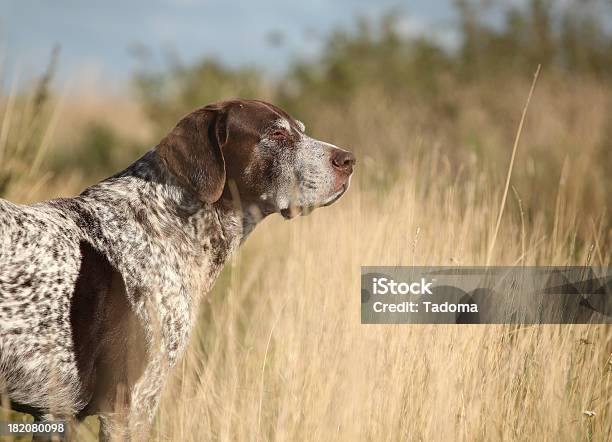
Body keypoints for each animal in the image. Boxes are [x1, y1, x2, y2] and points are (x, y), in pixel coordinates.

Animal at [0, 98, 354, 440]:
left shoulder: (54, 414)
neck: (167, 223)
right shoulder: (130, 405)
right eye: (278, 134)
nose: (349, 160)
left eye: (300, 130)